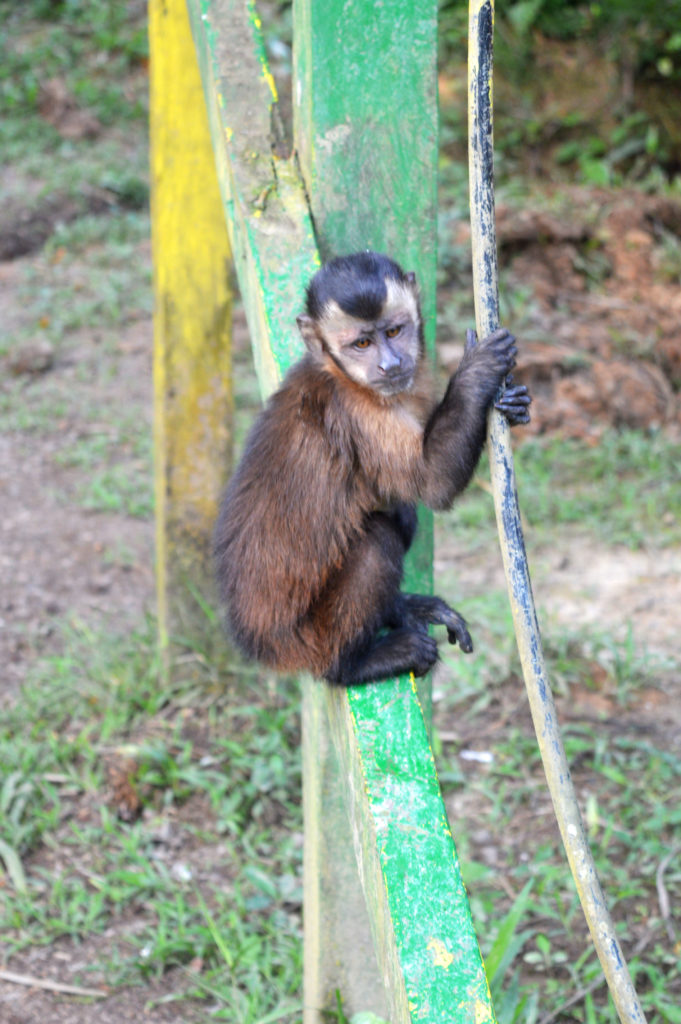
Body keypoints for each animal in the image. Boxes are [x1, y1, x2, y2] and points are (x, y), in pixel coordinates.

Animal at [214, 252, 532, 688]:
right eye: (361, 344)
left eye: (394, 331)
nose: (390, 363)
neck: (340, 374)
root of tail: (258, 642)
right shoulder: (356, 410)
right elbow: (432, 481)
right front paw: (477, 372)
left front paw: (514, 403)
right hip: (306, 638)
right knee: (380, 537)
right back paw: (353, 664)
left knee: (398, 512)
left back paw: (400, 609)